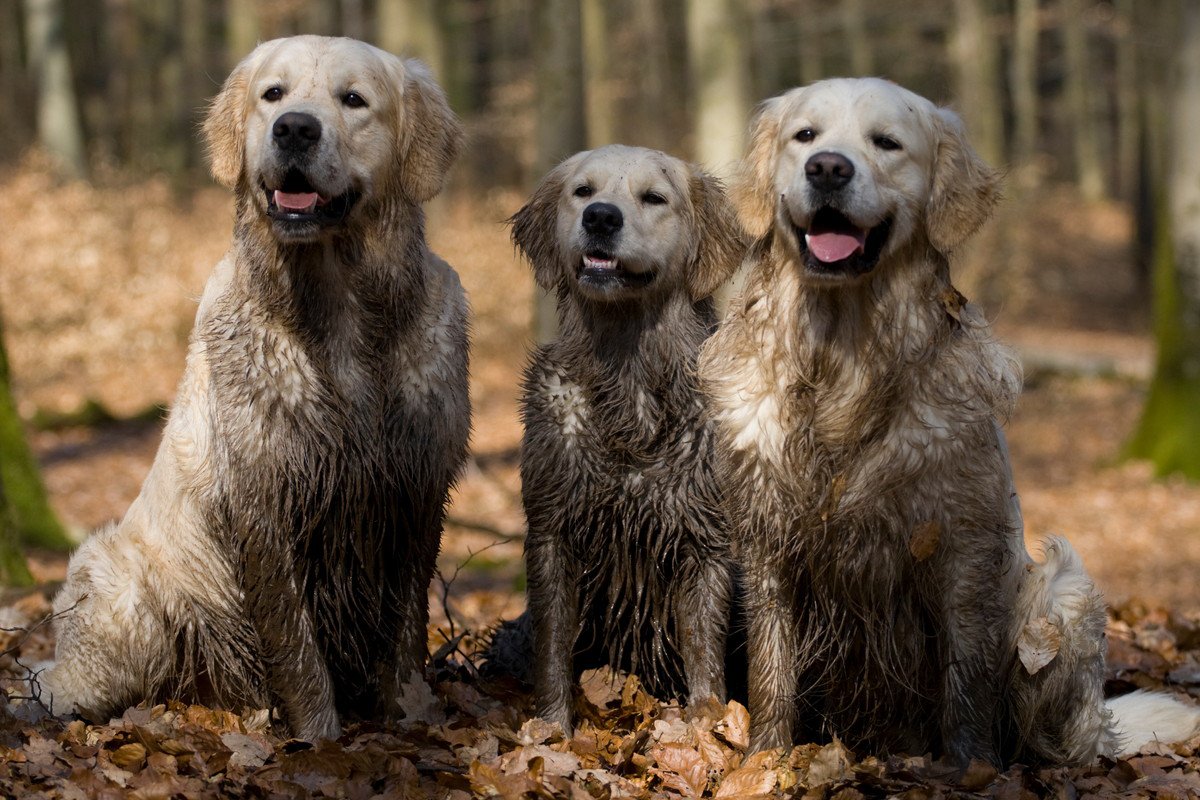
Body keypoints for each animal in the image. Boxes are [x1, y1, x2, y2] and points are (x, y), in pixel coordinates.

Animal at [38, 35, 468, 738]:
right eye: (273, 94)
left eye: (354, 99)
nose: (294, 128)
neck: (338, 313)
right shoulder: (264, 498)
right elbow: (296, 646)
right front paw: (320, 738)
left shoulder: (416, 487)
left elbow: (405, 634)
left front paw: (407, 718)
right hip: (118, 584)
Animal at [508, 143, 744, 734]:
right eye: (583, 192)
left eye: (654, 197)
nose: (601, 218)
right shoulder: (552, 529)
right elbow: (553, 651)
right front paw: (552, 731)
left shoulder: (704, 538)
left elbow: (703, 652)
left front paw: (706, 725)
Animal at [700, 77, 1200, 767]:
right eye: (805, 136)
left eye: (887, 143)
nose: (827, 168)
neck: (843, 361)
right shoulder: (766, 537)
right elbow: (772, 669)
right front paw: (767, 761)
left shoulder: (962, 541)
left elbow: (966, 674)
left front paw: (970, 769)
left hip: (1062, 591)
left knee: (1058, 738)